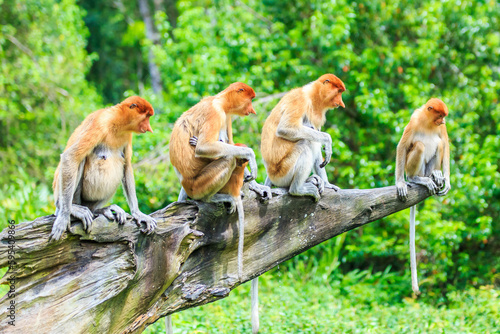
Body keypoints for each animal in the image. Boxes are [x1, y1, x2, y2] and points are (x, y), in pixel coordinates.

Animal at [50, 96, 156, 240]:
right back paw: (72, 209)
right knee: (80, 159)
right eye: (146, 117)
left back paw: (101, 210)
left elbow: (127, 166)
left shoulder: (127, 135)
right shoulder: (99, 124)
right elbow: (70, 157)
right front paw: (63, 218)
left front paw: (138, 213)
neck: (117, 121)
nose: (149, 128)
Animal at [396, 97, 452, 294]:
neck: (428, 122)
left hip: (429, 166)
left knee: (440, 144)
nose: (443, 121)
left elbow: (445, 144)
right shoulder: (414, 121)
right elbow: (402, 146)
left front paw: (447, 183)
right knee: (419, 146)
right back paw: (416, 179)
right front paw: (400, 184)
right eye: (440, 115)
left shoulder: (441, 130)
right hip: (412, 167)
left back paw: (435, 176)